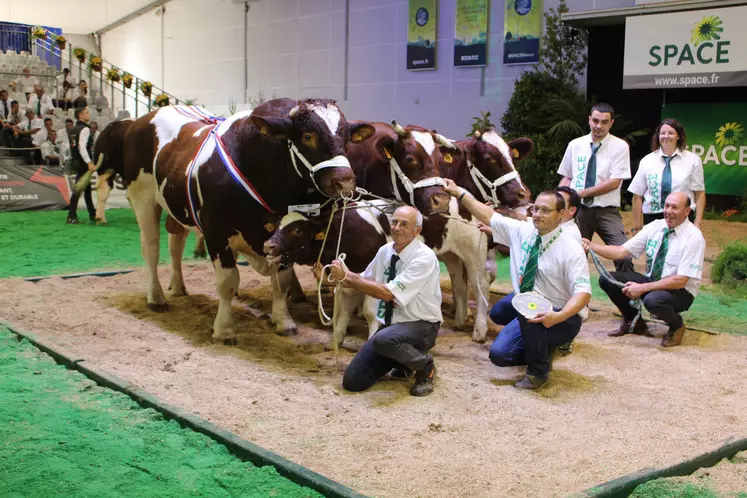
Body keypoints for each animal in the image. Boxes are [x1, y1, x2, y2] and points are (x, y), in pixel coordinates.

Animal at [125, 100, 376, 342]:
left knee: (175, 245)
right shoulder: (216, 232)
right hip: (143, 199)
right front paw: (224, 330)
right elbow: (228, 281)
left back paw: (177, 286)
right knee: (151, 249)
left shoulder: (284, 238)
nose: (344, 181)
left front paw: (284, 321)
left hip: (177, 208)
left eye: (346, 139)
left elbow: (281, 281)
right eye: (307, 136)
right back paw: (156, 298)